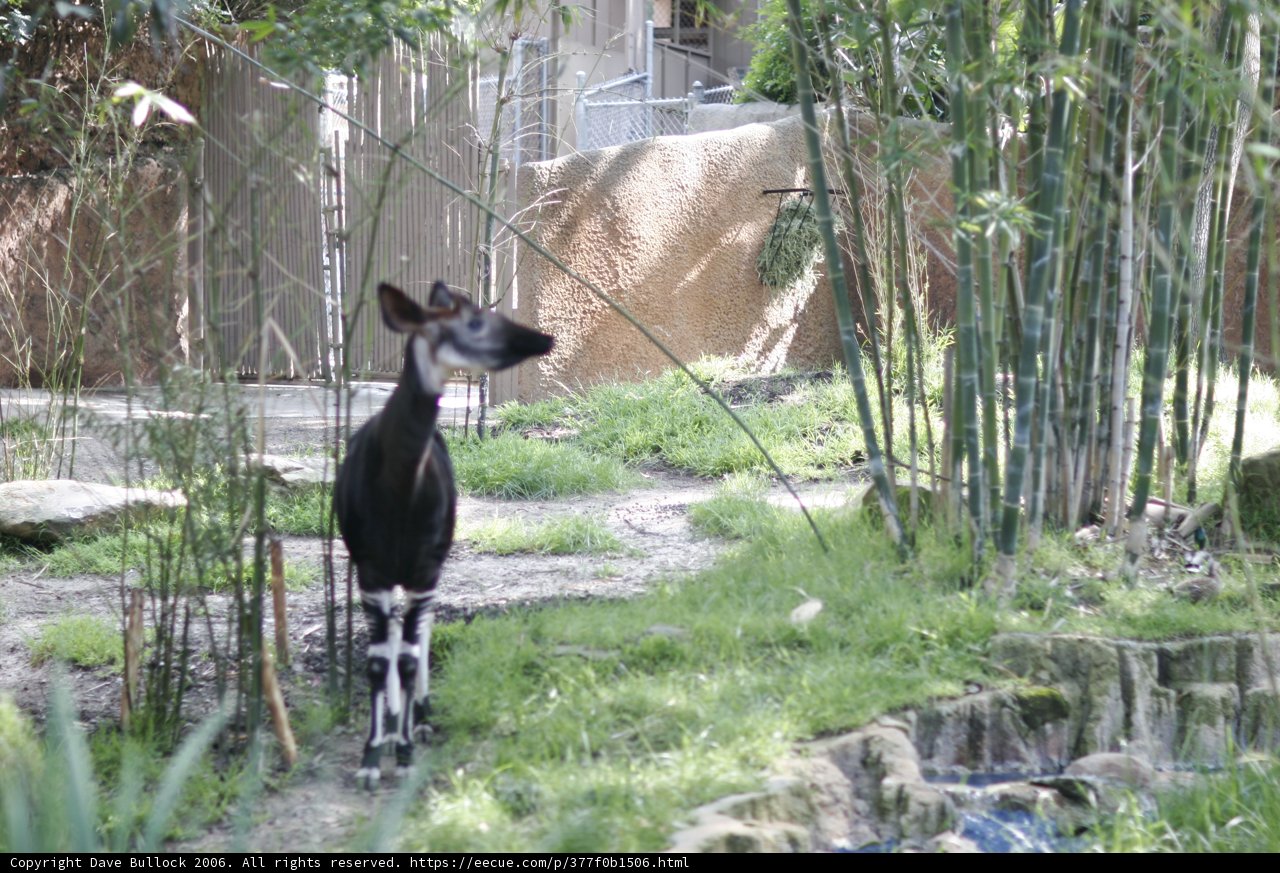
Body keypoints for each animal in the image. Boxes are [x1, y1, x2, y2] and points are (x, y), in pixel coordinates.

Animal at [334, 281, 553, 788]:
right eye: (472, 322)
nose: (543, 339)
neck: (397, 488)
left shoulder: (425, 569)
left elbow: (410, 656)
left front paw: (404, 752)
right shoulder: (371, 571)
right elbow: (379, 661)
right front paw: (372, 757)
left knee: (420, 634)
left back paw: (418, 716)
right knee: (398, 637)